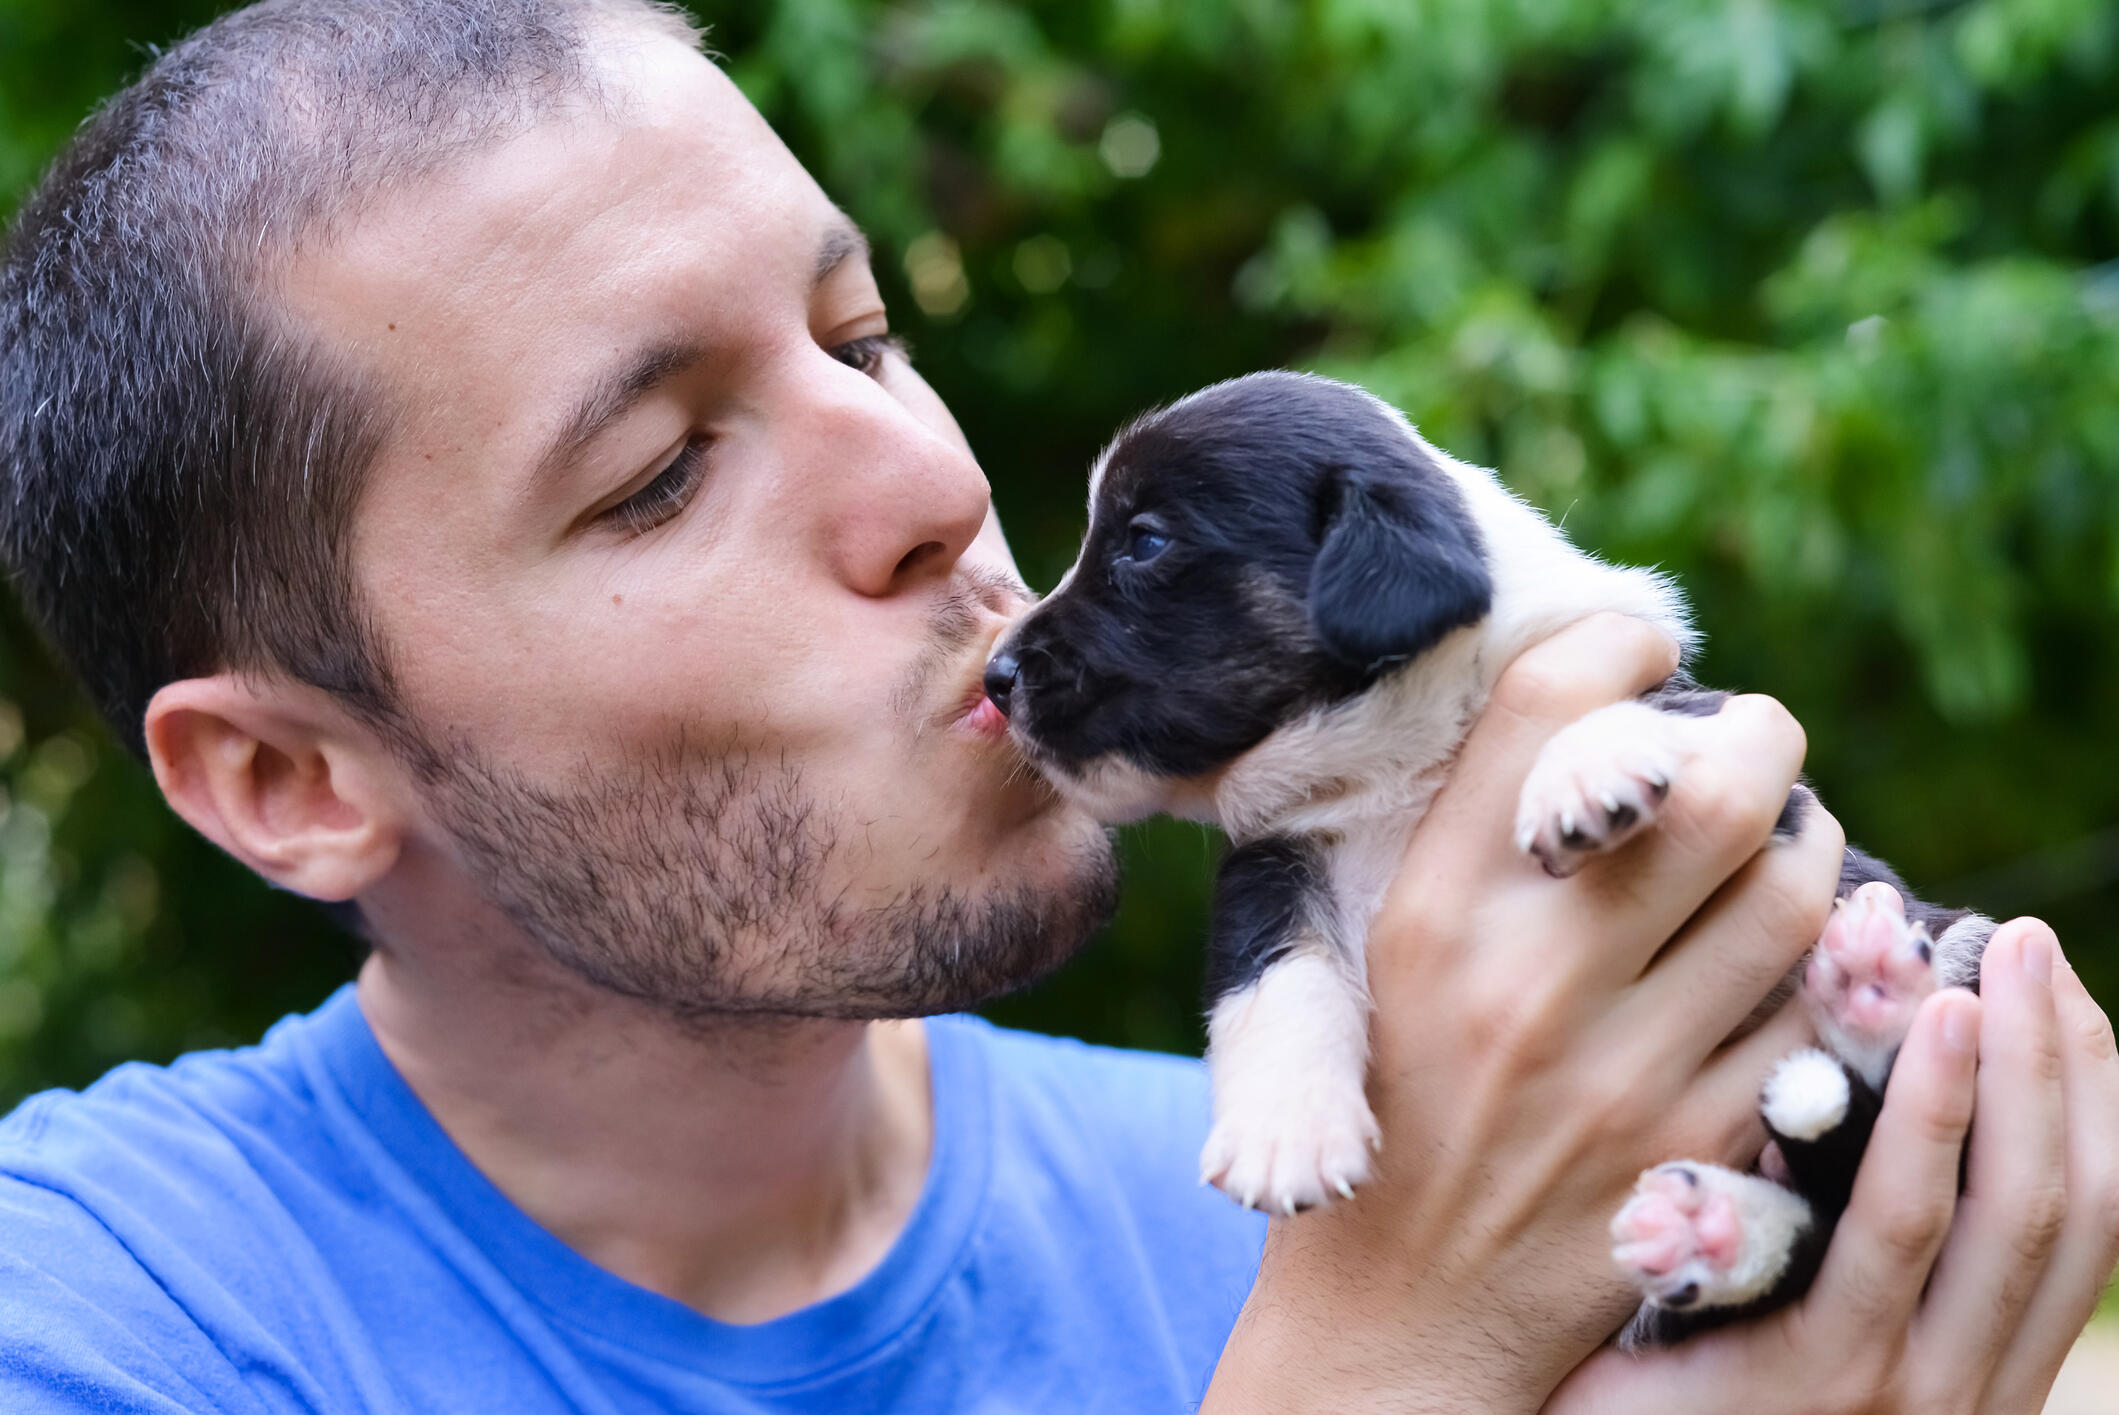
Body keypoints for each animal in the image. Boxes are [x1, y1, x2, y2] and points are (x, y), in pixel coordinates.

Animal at [983, 370, 1991, 1347]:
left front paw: (1584, 765)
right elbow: (1274, 975)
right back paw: (1719, 1218)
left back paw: (1872, 992)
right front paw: (1285, 1125)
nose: (995, 676)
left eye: (1144, 542)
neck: (1394, 760)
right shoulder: (1273, 863)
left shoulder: (1757, 770)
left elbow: (1658, 715)